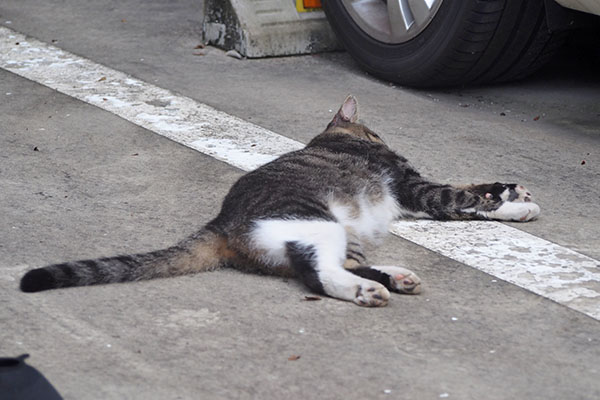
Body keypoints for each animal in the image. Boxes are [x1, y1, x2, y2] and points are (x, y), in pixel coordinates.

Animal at [19, 96, 540, 306]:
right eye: (373, 131)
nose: (380, 135)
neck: (331, 137)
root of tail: (222, 222)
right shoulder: (412, 186)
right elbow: (458, 196)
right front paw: (514, 205)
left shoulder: (412, 190)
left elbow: (468, 188)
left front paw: (512, 191)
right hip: (318, 223)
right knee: (319, 273)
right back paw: (367, 291)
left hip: (340, 233)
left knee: (339, 263)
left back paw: (394, 276)